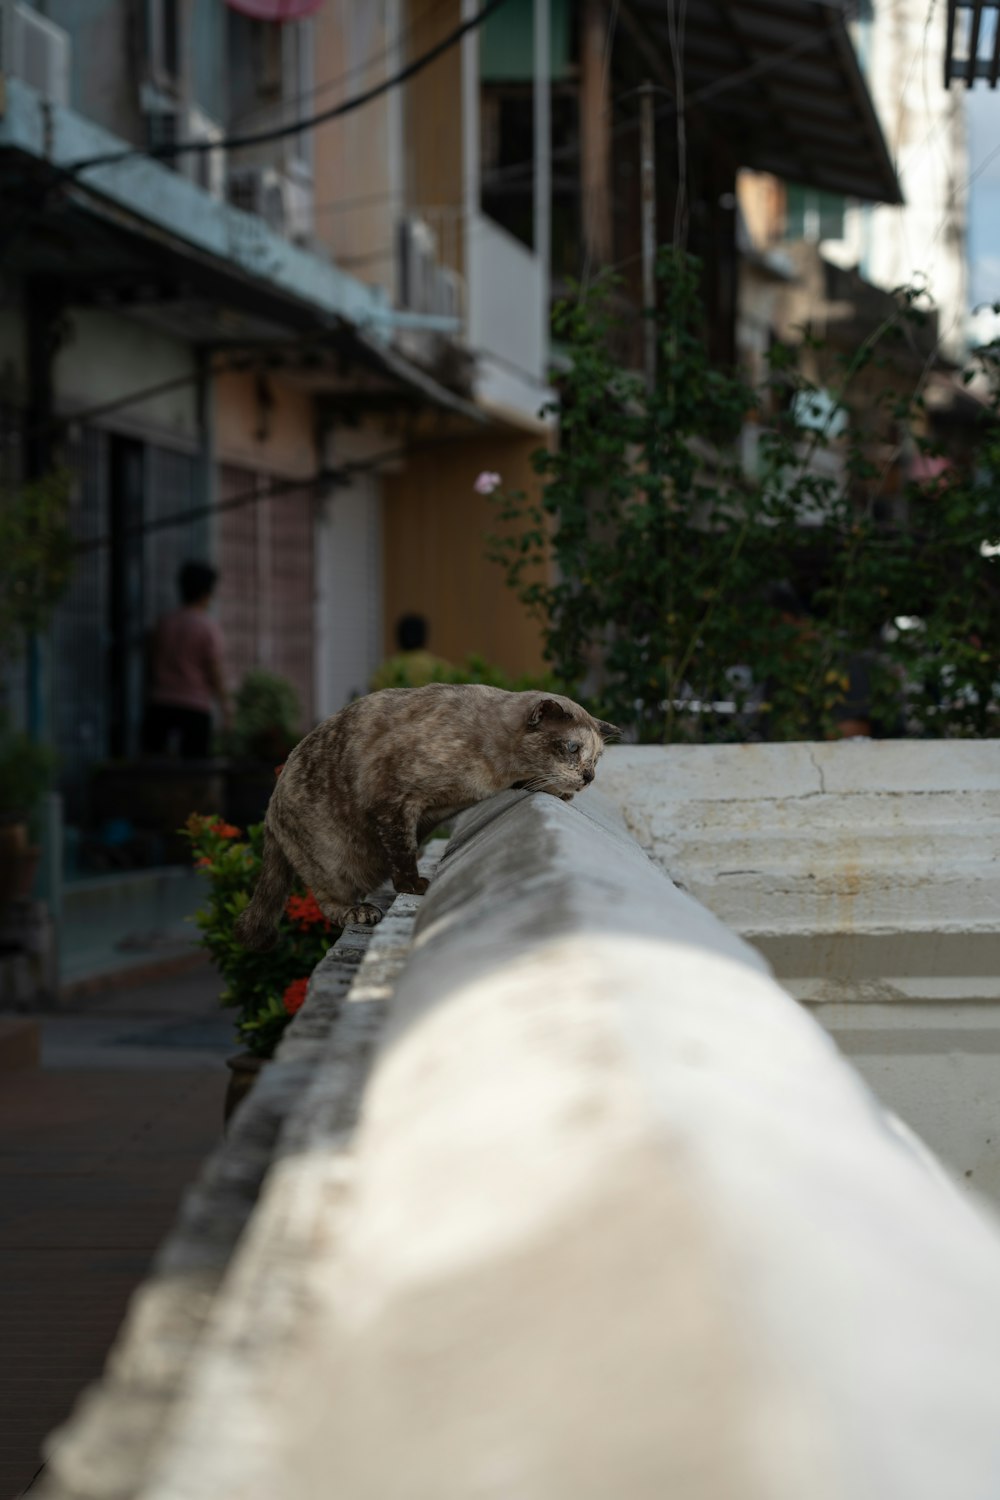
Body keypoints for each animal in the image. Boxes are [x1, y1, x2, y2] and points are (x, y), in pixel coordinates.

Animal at [235, 684, 620, 948]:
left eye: (597, 758)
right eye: (572, 748)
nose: (589, 777)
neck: (496, 770)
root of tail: (270, 806)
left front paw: (558, 791)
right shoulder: (394, 804)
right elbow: (403, 856)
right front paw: (416, 886)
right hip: (335, 861)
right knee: (329, 900)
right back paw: (359, 910)